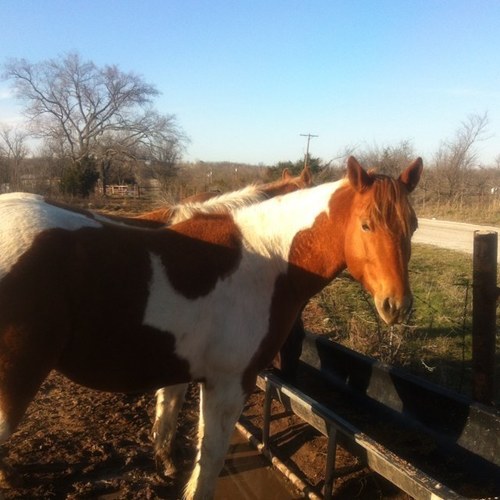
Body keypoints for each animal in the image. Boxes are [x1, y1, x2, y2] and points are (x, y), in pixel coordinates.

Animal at [0, 157, 422, 500]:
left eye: (414, 226)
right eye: (366, 224)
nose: (396, 305)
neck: (268, 256)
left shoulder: (183, 369)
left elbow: (168, 415)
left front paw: (165, 464)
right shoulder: (229, 384)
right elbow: (209, 462)